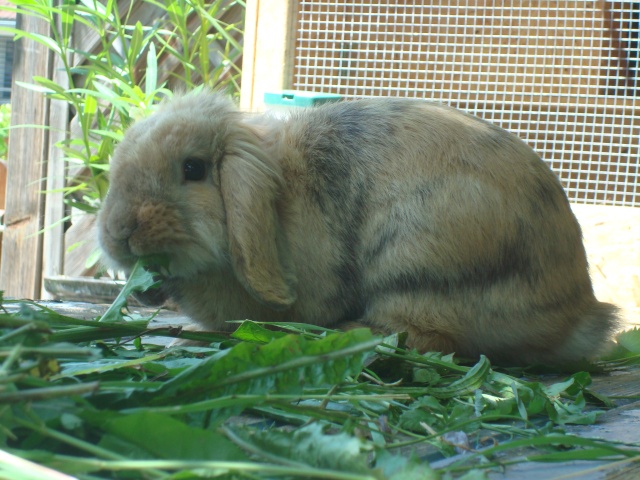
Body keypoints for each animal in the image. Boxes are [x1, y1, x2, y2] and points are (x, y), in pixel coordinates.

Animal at [99, 90, 620, 366]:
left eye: (192, 169)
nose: (119, 233)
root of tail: (577, 314)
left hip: (413, 270)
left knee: (428, 340)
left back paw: (338, 335)